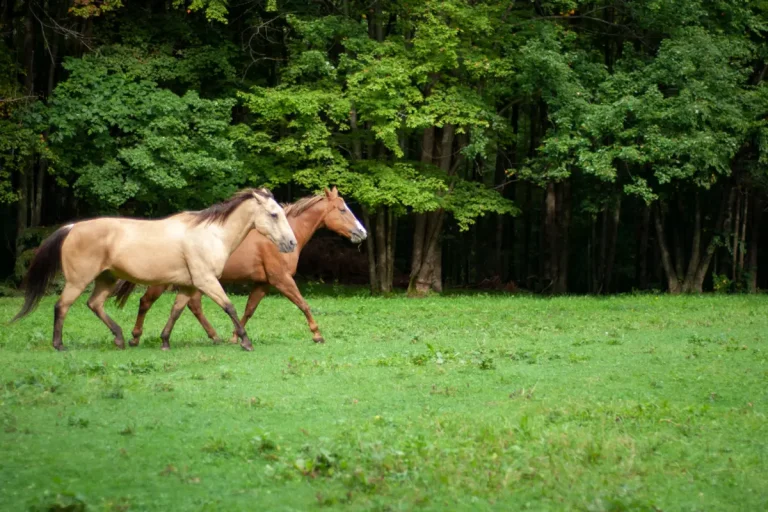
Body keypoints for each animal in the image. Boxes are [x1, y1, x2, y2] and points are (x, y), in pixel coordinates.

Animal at [12, 188, 297, 352]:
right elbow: (229, 307)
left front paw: (165, 341)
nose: (291, 243)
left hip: (106, 279)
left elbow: (176, 311)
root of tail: (72, 227)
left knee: (94, 304)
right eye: (274, 214)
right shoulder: (206, 281)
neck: (211, 234)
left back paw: (120, 339)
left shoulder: (189, 285)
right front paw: (246, 342)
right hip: (78, 281)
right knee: (61, 306)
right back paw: (59, 345)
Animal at [112, 187, 367, 345]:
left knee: (192, 306)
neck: (275, 238)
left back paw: (214, 337)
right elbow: (303, 304)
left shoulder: (263, 284)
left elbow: (248, 310)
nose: (362, 232)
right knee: (146, 302)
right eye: (342, 209)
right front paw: (317, 335)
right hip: (165, 282)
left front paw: (235, 336)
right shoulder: (281, 279)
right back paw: (135, 337)